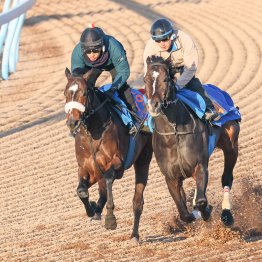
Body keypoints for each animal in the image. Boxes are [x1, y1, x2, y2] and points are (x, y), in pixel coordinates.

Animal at [64, 67, 154, 242]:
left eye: (84, 92)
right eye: (65, 93)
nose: (72, 122)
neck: (93, 133)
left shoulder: (117, 164)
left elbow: (108, 180)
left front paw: (110, 219)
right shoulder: (86, 169)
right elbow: (82, 191)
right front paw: (92, 209)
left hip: (144, 159)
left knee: (137, 200)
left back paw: (134, 235)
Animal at [144, 55, 241, 227]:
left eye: (166, 79)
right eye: (145, 79)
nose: (153, 105)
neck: (174, 133)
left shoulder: (200, 166)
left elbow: (201, 201)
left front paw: (205, 210)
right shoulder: (171, 177)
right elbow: (184, 214)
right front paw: (195, 211)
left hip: (231, 146)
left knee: (227, 177)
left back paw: (227, 215)